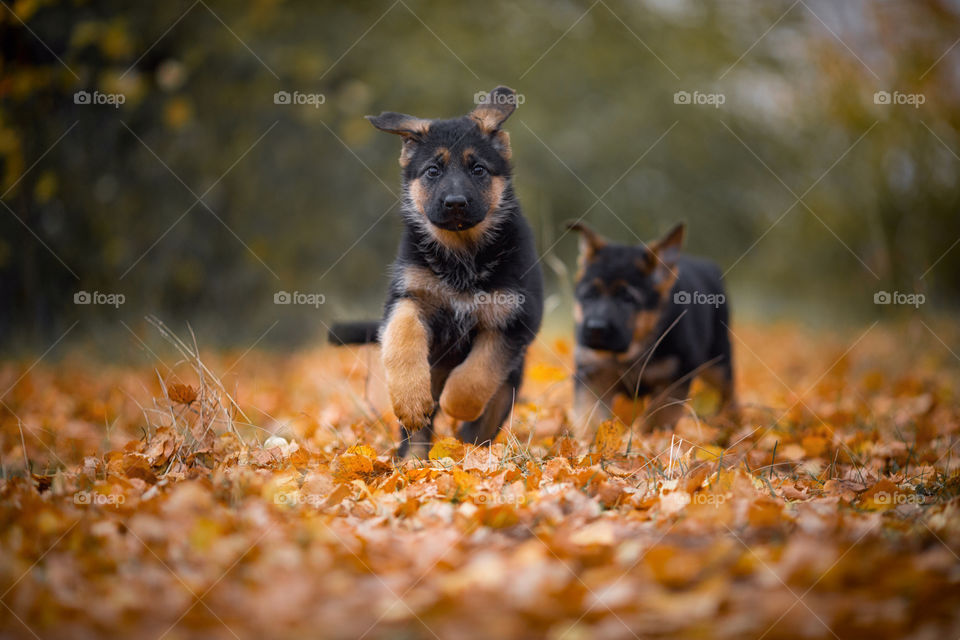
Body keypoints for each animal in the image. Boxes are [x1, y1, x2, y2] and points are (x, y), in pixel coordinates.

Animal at [328, 87, 540, 458]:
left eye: (479, 169)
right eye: (432, 171)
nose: (455, 203)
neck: (461, 252)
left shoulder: (514, 319)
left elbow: (477, 373)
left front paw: (457, 403)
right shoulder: (408, 297)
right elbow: (402, 337)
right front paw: (411, 399)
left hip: (507, 389)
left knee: (481, 426)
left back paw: (470, 454)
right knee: (417, 431)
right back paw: (413, 460)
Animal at [568, 221, 736, 436]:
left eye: (628, 298)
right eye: (589, 295)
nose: (596, 328)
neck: (632, 351)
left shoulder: (674, 380)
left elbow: (660, 418)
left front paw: (656, 438)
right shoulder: (593, 373)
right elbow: (591, 416)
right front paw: (588, 441)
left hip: (719, 364)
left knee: (728, 393)